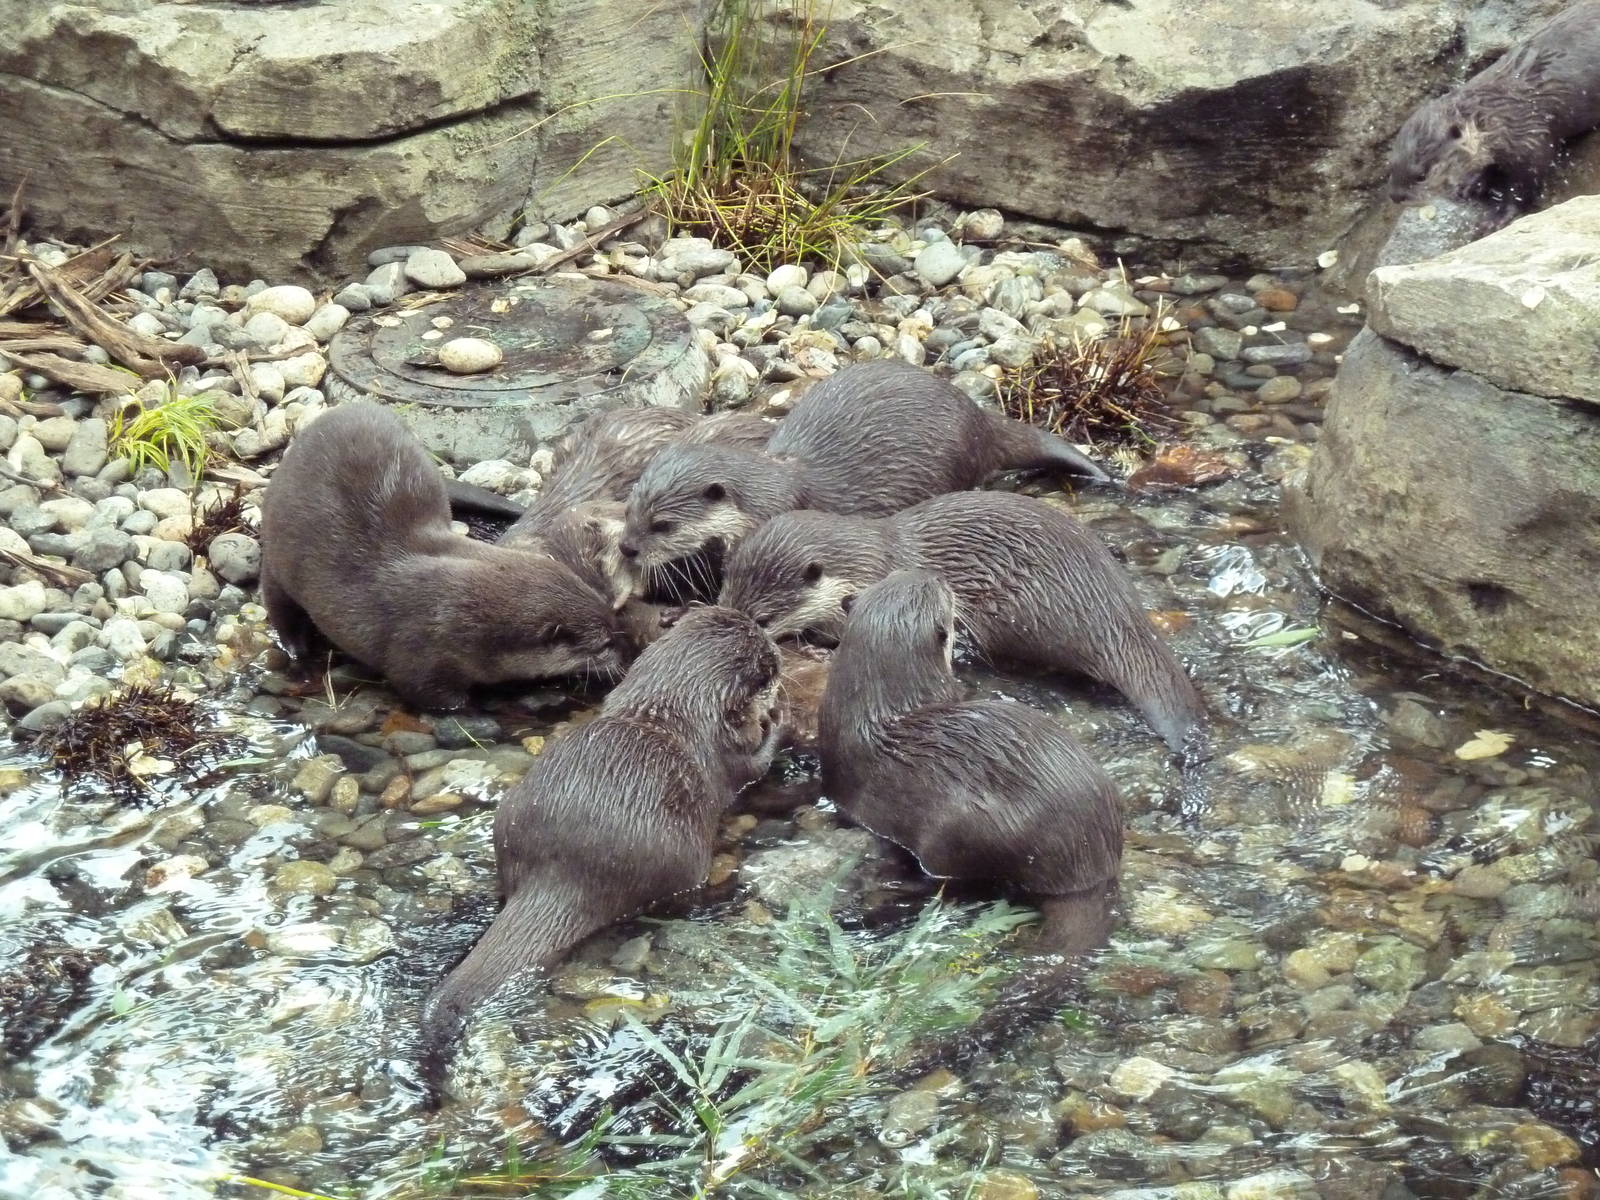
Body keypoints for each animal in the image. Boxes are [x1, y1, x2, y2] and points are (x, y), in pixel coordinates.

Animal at [259, 403, 629, 711]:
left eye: (614, 627)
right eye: (604, 643)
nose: (624, 659)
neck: (461, 616)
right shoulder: (421, 653)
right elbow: (436, 696)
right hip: (277, 555)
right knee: (278, 603)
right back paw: (298, 652)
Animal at [418, 606, 782, 1095]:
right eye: (767, 660)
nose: (776, 647)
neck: (669, 706)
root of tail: (564, 872)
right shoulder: (730, 751)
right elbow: (756, 762)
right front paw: (777, 717)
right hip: (682, 855)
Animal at [1389, 1, 1600, 215]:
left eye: (1421, 176)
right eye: (1391, 166)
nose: (1395, 196)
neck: (1502, 114)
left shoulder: (1531, 139)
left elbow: (1524, 185)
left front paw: (1500, 214)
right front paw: (1473, 184)